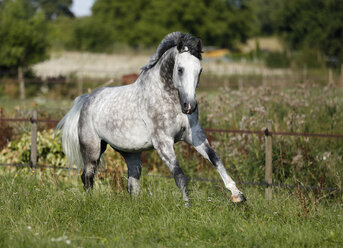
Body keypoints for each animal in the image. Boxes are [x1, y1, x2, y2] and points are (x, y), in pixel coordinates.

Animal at [56, 32, 246, 204]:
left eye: (200, 70)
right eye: (180, 69)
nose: (189, 106)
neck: (169, 99)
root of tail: (88, 98)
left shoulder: (195, 136)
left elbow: (216, 160)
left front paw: (238, 195)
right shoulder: (163, 142)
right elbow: (179, 175)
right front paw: (188, 207)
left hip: (131, 153)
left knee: (132, 184)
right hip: (93, 149)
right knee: (87, 176)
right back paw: (90, 203)